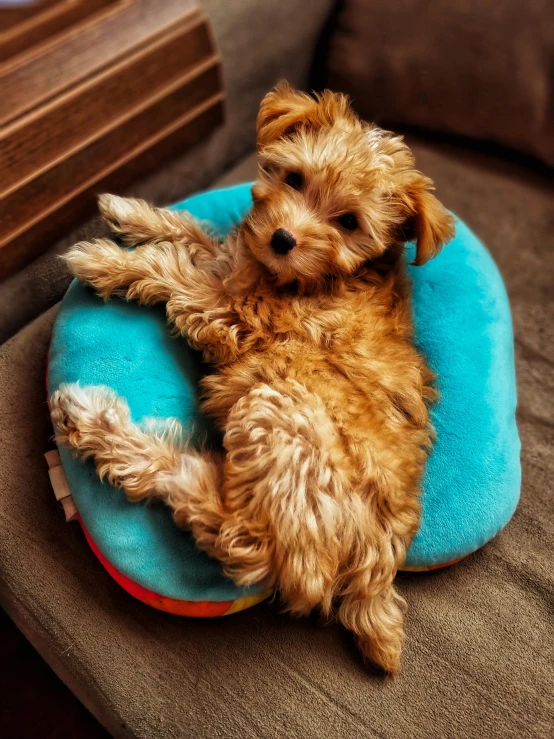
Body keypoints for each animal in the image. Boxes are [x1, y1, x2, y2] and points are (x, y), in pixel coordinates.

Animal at [49, 82, 450, 676]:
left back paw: (95, 423)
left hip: (281, 414)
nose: (282, 239)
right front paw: (130, 211)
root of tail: (375, 571)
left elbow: (175, 270)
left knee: (239, 536)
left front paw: (105, 259)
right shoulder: (234, 262)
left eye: (349, 222)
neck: (325, 277)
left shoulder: (235, 314)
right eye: (294, 179)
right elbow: (197, 235)